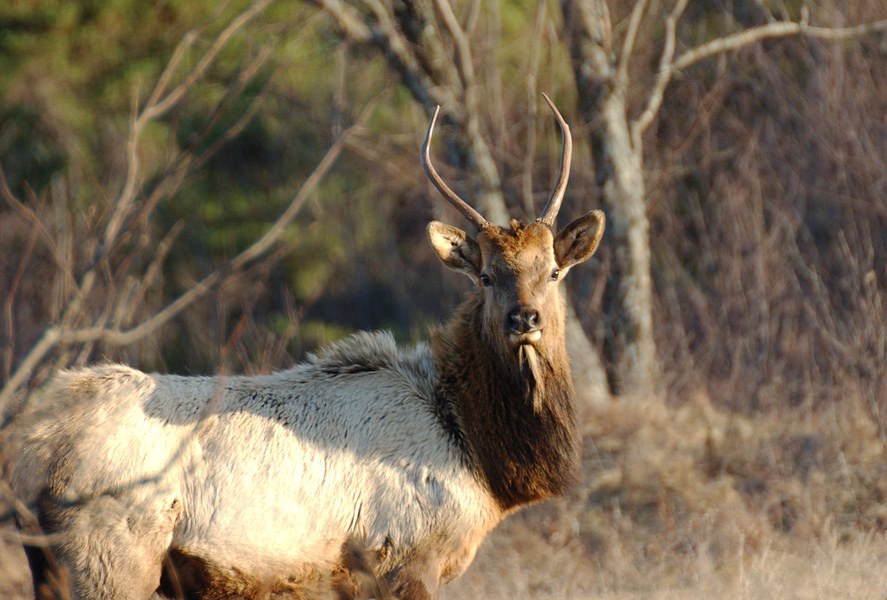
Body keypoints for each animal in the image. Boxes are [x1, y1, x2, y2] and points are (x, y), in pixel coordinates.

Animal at [3, 95, 604, 600]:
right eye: (485, 276)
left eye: (553, 271)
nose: (524, 318)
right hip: (109, 556)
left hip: (54, 563)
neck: (478, 451)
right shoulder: (403, 559)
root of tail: (31, 448)